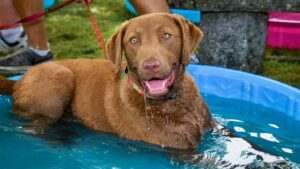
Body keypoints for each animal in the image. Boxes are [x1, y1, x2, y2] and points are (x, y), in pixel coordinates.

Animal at [0, 13, 212, 150]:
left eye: (166, 35)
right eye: (133, 40)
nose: (150, 66)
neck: (174, 100)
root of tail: (18, 81)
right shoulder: (178, 149)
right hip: (59, 78)